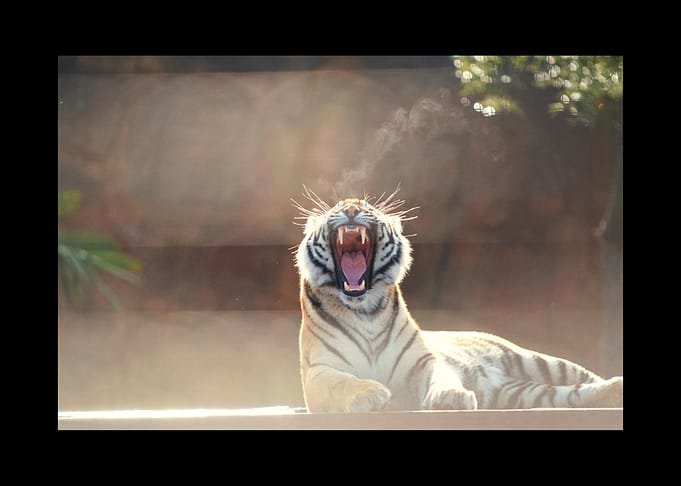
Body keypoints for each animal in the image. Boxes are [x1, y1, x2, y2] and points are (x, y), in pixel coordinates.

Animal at [293, 187, 623, 413]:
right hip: (522, 393)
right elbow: (340, 381)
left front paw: (451, 397)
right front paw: (368, 394)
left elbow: (442, 375)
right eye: (335, 208)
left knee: (585, 377)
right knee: (572, 395)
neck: (365, 310)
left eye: (368, 206)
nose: (350, 208)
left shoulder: (421, 361)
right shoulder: (318, 370)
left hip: (539, 361)